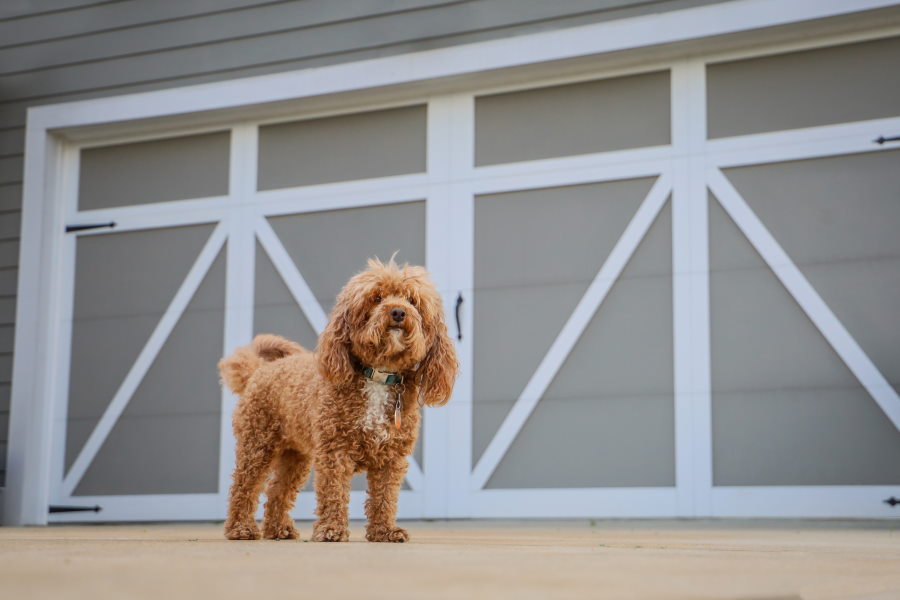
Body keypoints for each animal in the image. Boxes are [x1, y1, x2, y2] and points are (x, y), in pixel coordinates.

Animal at [217, 258, 458, 544]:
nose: (399, 312)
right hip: (257, 443)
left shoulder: (391, 457)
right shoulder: (334, 451)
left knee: (277, 489)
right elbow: (333, 491)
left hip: (295, 455)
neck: (378, 375)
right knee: (244, 485)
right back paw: (240, 528)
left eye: (412, 300)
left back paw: (278, 529)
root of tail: (259, 370)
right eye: (376, 298)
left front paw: (385, 531)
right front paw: (331, 529)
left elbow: (385, 497)